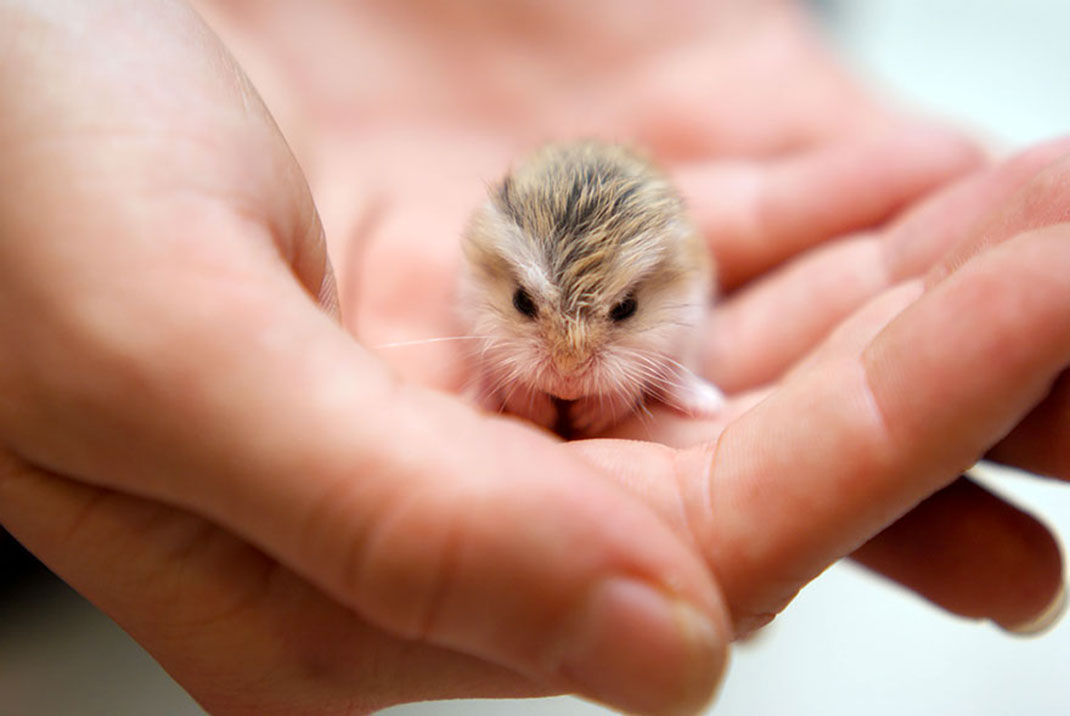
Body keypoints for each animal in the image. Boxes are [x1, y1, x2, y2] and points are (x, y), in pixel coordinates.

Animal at [459, 140, 723, 435]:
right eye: (522, 301)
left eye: (626, 307)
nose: (568, 381)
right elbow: (506, 372)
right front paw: (541, 414)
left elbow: (629, 385)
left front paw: (586, 420)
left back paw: (707, 404)